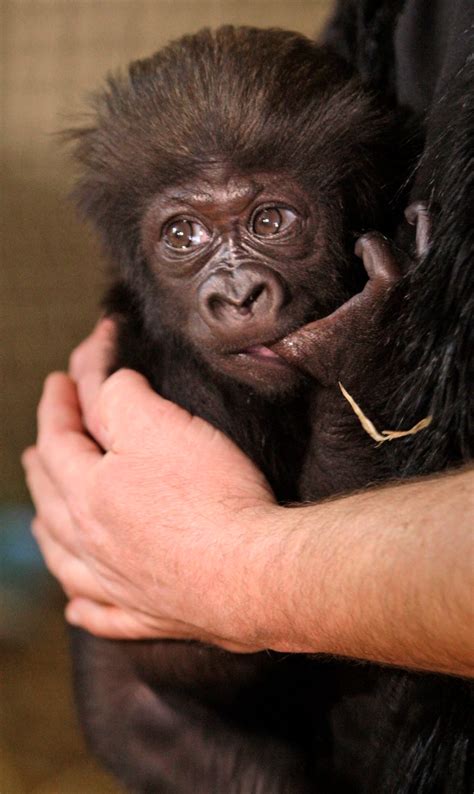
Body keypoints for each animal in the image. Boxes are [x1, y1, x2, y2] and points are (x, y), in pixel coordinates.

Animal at [69, 24, 422, 792]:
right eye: (182, 236)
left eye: (270, 220)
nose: (236, 296)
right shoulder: (177, 384)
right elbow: (198, 640)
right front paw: (353, 343)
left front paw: (351, 343)